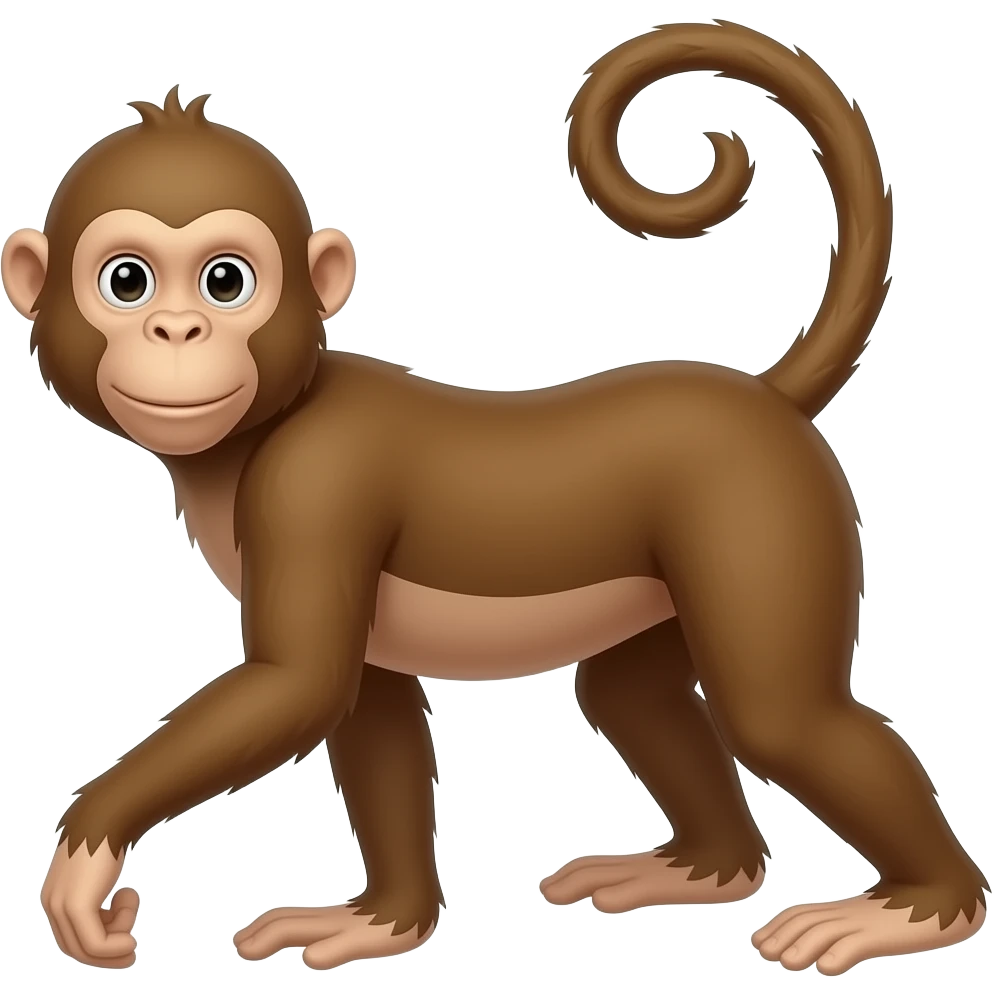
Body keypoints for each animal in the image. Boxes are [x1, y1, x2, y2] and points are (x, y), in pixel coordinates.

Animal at [1, 20, 988, 977]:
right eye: (127, 281)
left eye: (225, 281)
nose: (178, 331)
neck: (257, 430)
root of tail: (764, 398)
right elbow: (363, 705)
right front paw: (384, 921)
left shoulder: (317, 483)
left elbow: (298, 687)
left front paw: (86, 851)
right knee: (628, 695)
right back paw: (704, 867)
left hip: (761, 514)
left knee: (780, 716)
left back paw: (918, 906)